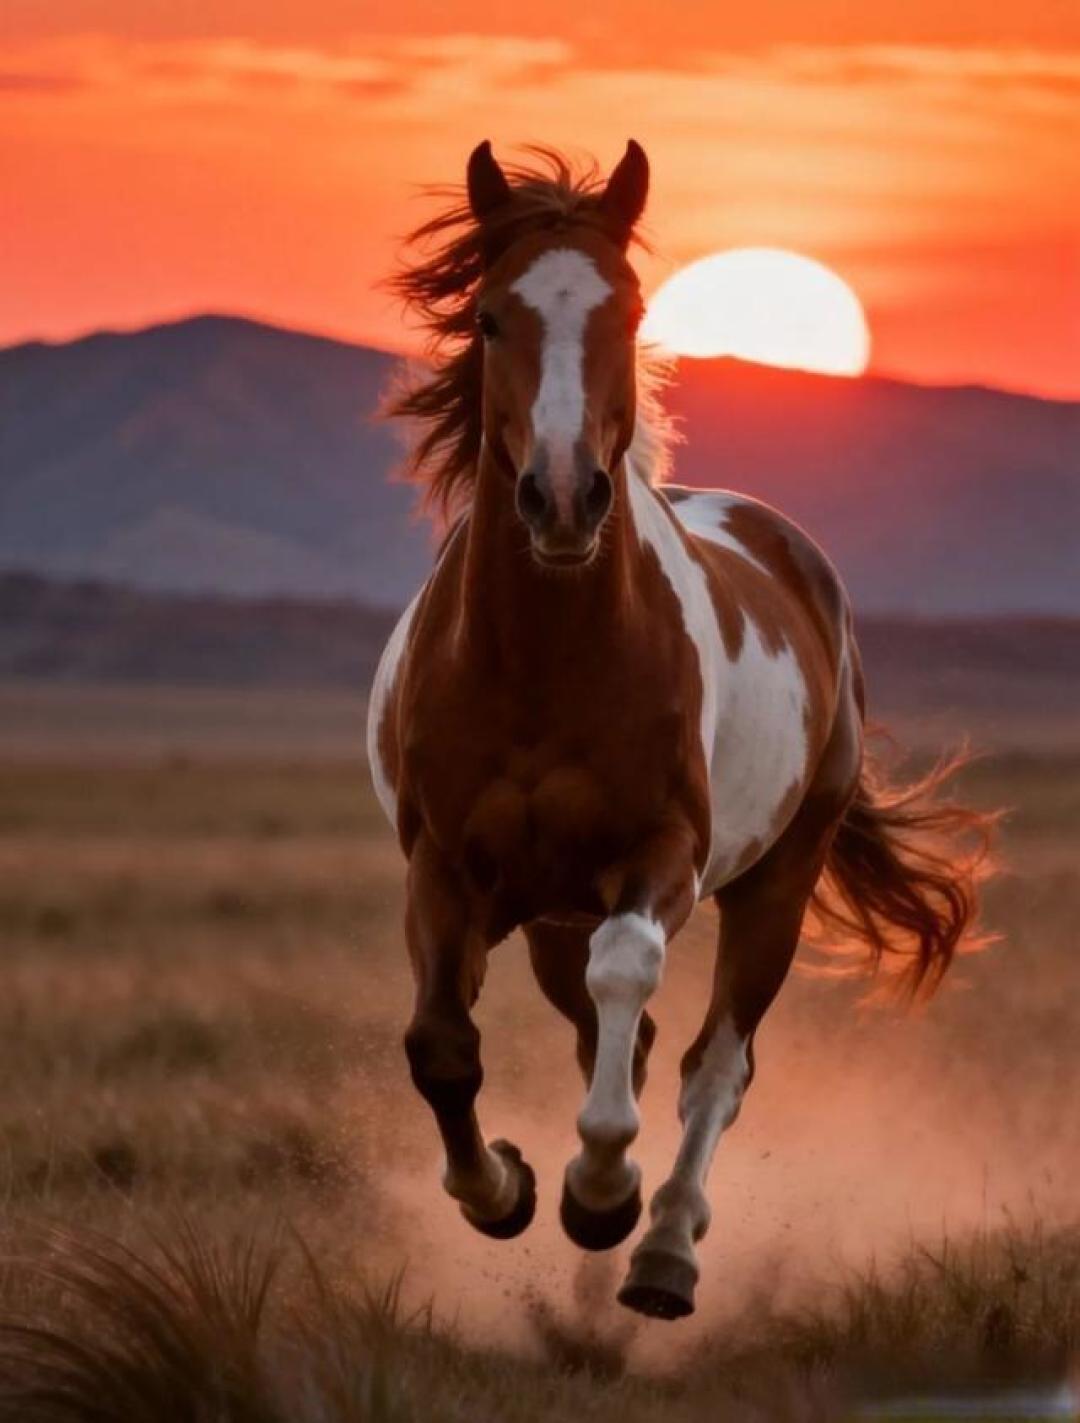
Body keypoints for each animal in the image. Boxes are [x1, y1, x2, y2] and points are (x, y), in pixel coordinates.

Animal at [367, 140, 992, 1320]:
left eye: (632, 311)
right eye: (489, 318)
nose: (563, 498)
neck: (545, 666)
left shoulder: (662, 854)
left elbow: (631, 984)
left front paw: (600, 1189)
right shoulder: (444, 867)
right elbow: (440, 1046)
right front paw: (506, 1189)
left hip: (776, 882)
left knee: (715, 1064)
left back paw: (661, 1250)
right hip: (552, 913)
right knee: (625, 1036)